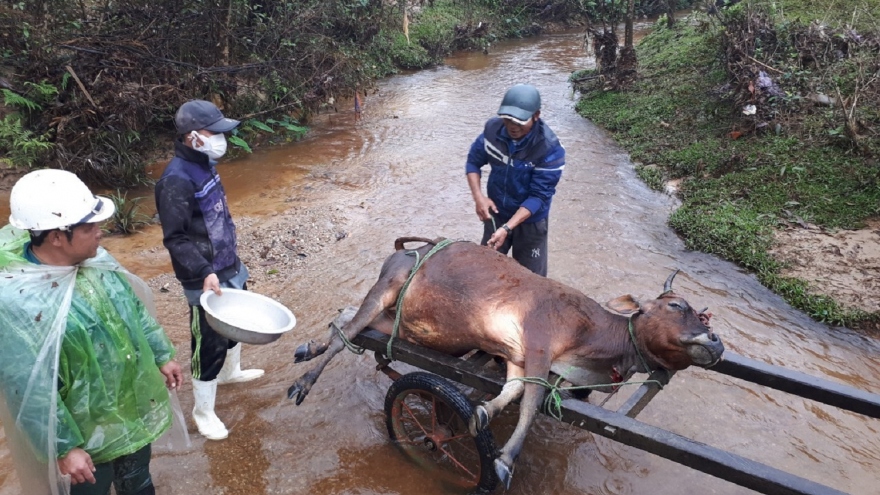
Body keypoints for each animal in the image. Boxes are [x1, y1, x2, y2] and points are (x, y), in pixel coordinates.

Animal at [288, 238, 720, 490]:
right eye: (676, 306)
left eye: (701, 313)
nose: (715, 341)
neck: (591, 339)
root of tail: (405, 247)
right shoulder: (541, 344)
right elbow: (530, 404)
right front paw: (503, 462)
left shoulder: (518, 356)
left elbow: (512, 391)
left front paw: (482, 412)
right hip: (388, 287)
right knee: (348, 334)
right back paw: (304, 380)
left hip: (401, 322)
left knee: (347, 318)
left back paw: (309, 346)